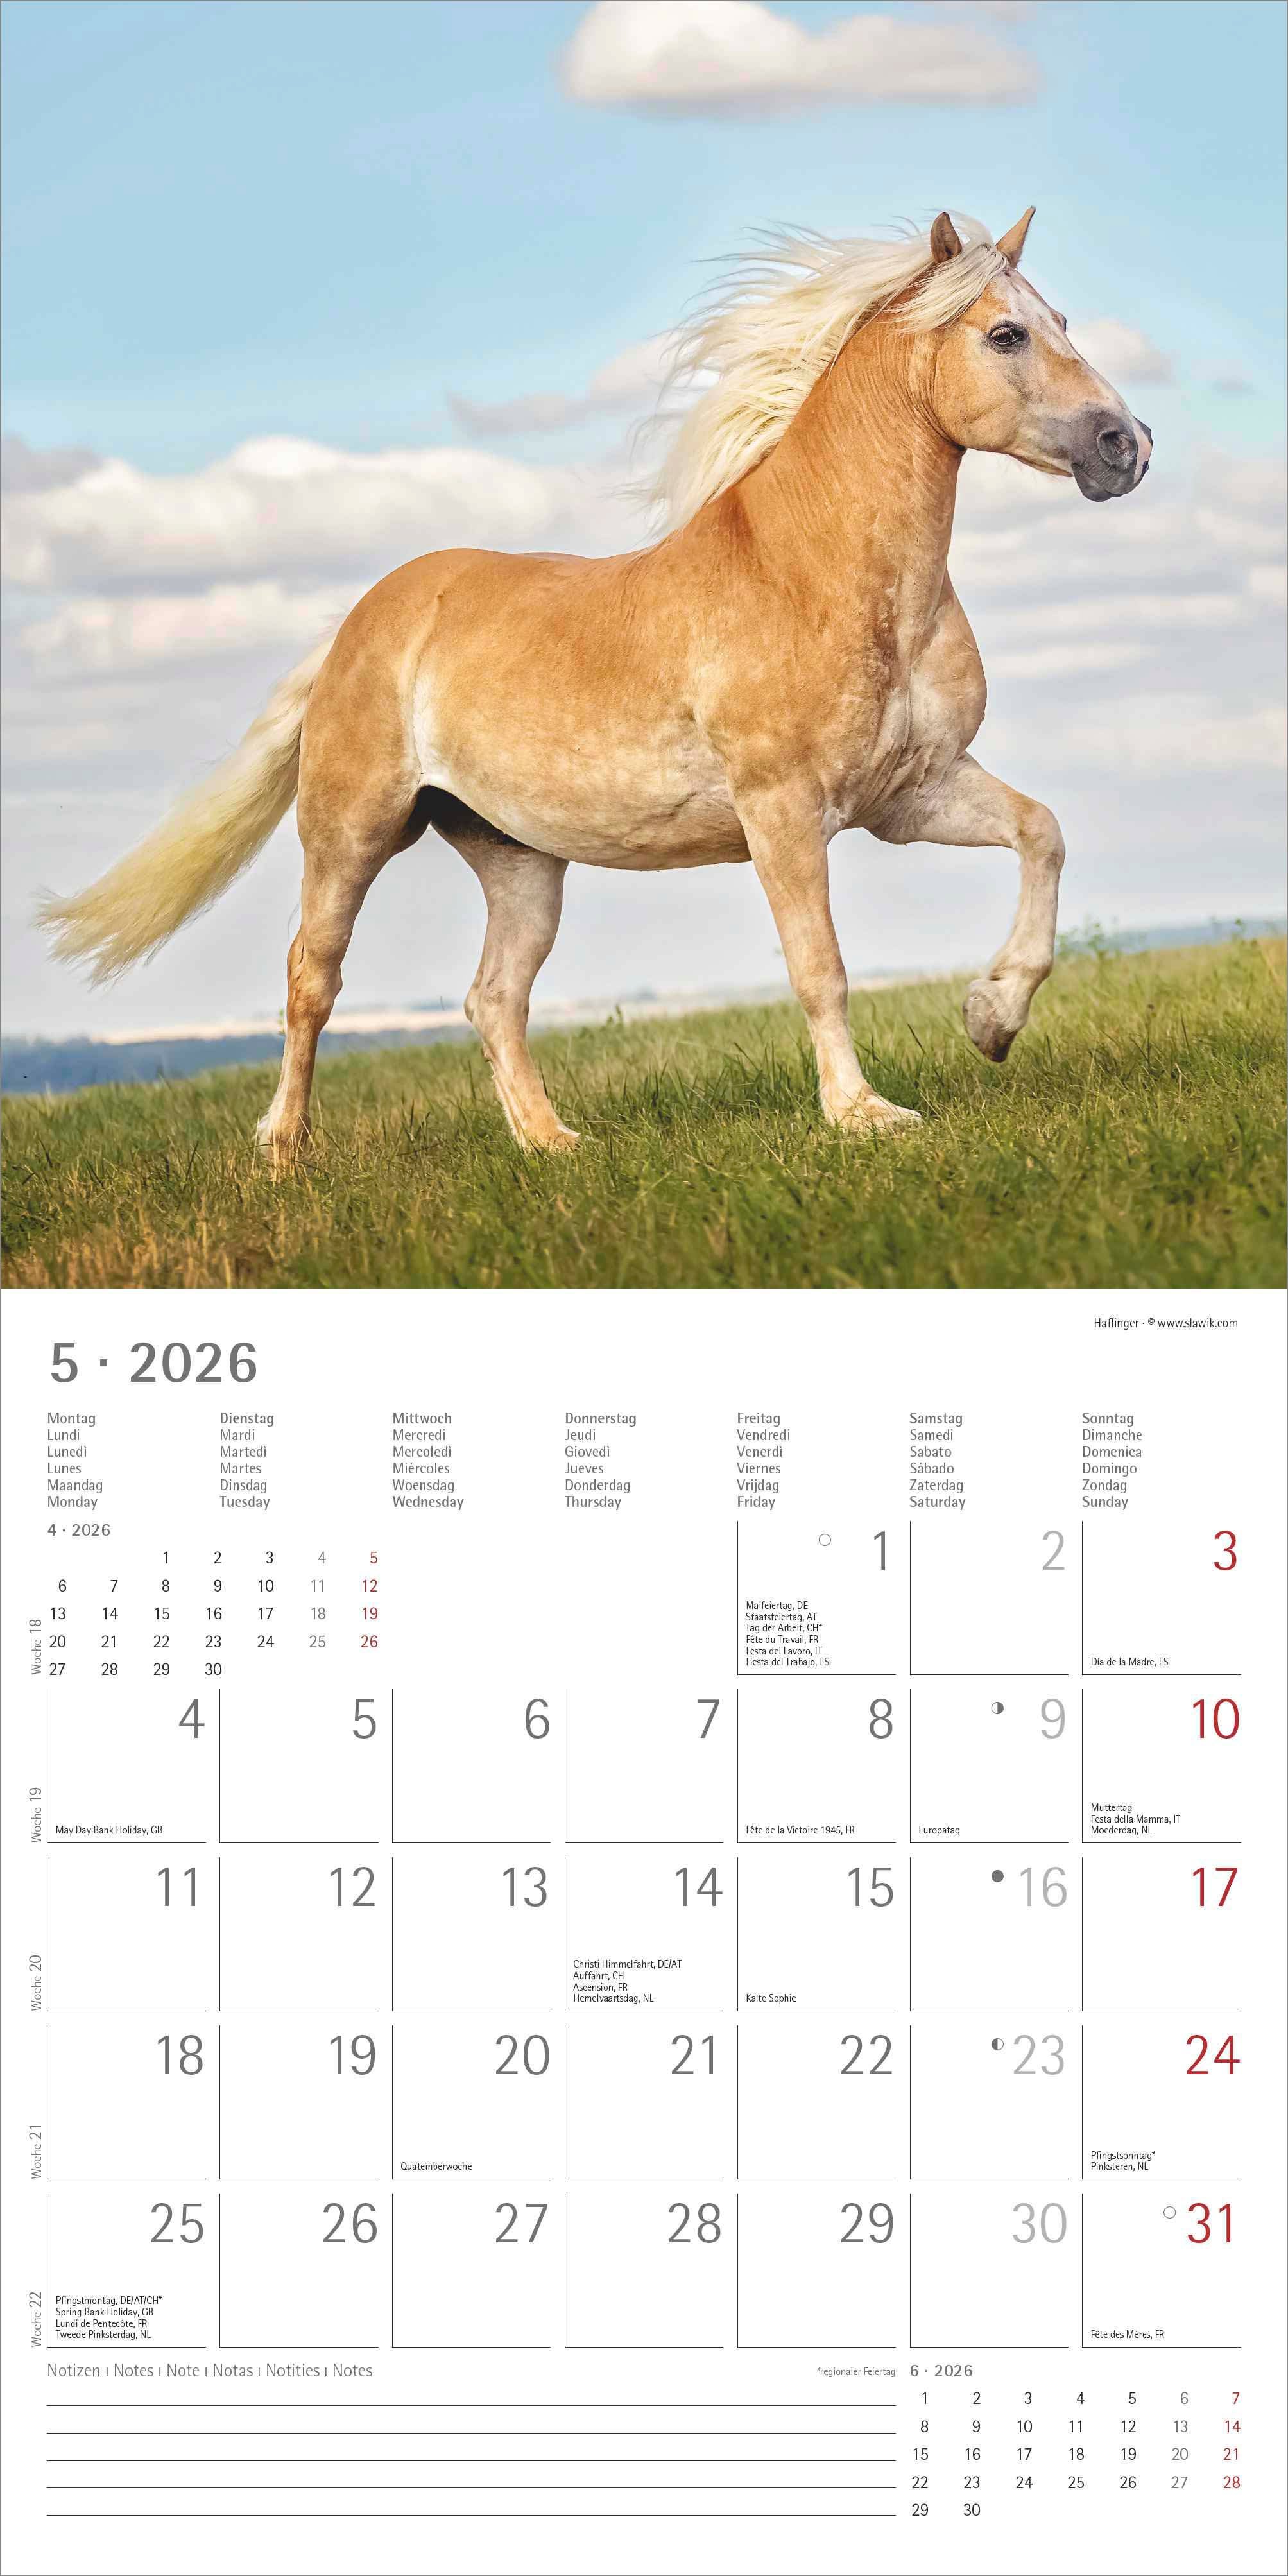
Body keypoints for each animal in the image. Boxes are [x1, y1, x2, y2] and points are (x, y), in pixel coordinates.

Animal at [40, 207, 1152, 1155]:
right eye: (1004, 335)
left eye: (1059, 321)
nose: (1125, 446)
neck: (816, 573)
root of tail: (361, 622)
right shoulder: (782, 813)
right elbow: (818, 967)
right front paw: (863, 1114)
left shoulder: (907, 794)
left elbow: (1041, 833)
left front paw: (989, 1019)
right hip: (353, 830)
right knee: (311, 977)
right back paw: (284, 1148)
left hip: (516, 856)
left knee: (493, 995)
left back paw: (551, 1142)